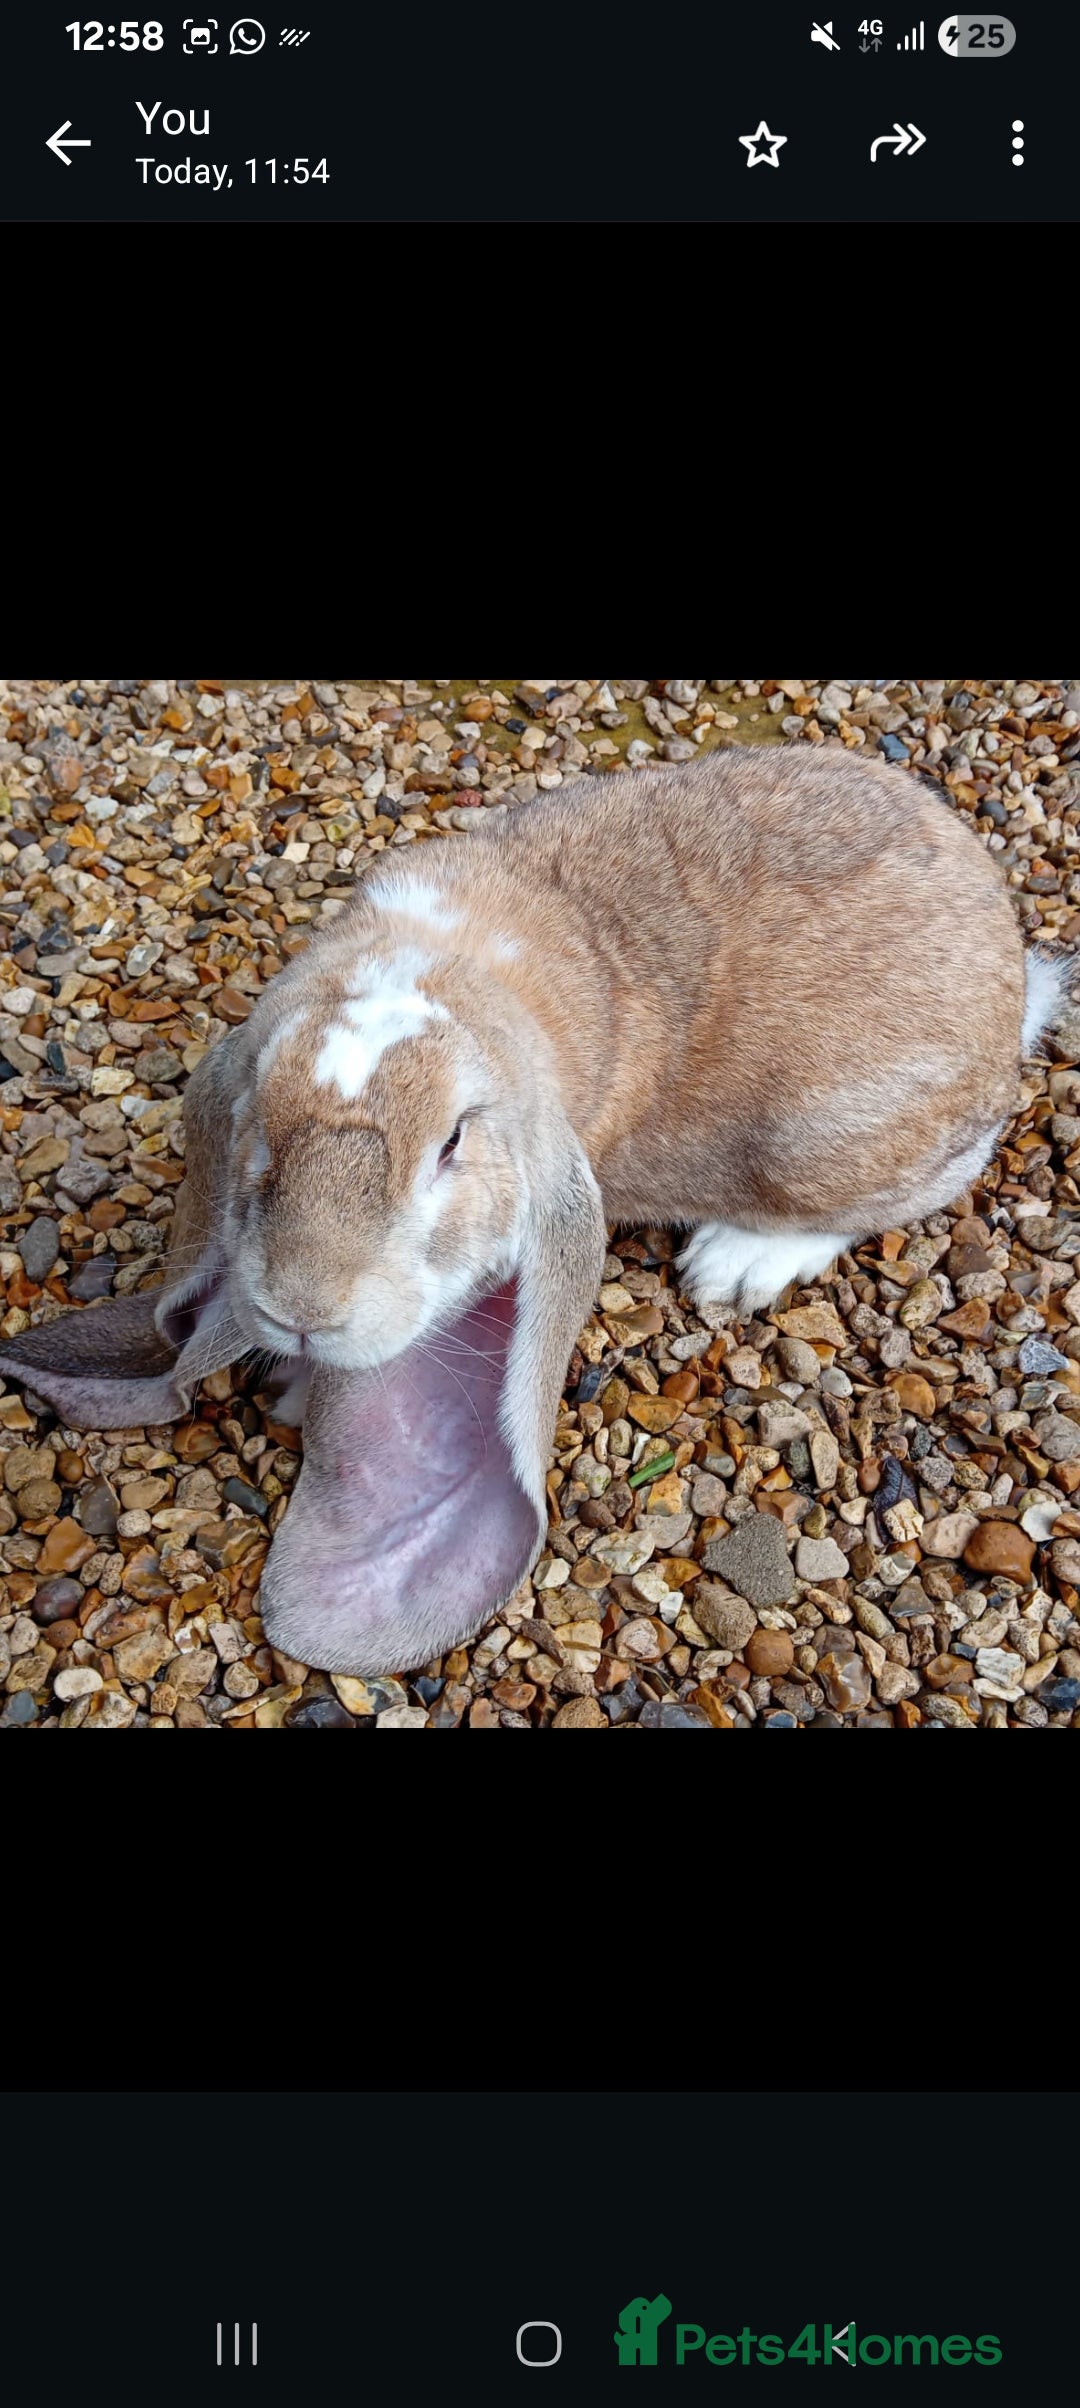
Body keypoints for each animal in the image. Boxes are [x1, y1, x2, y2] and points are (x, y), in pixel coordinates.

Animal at [0, 742, 1067, 1678]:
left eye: (450, 1145)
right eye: (255, 1123)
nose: (304, 1309)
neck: (459, 972)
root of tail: (1010, 977)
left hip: (821, 1144)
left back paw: (732, 1264)